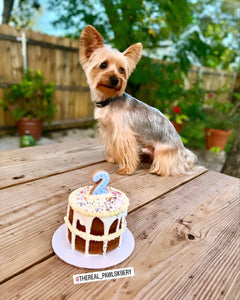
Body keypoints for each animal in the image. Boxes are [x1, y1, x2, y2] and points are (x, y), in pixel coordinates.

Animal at [79, 26, 197, 176]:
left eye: (121, 69)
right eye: (103, 65)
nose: (115, 80)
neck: (109, 100)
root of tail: (182, 152)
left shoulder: (124, 134)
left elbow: (126, 151)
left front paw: (126, 169)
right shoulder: (110, 131)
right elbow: (112, 146)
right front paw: (112, 158)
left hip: (163, 151)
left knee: (168, 165)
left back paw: (158, 170)